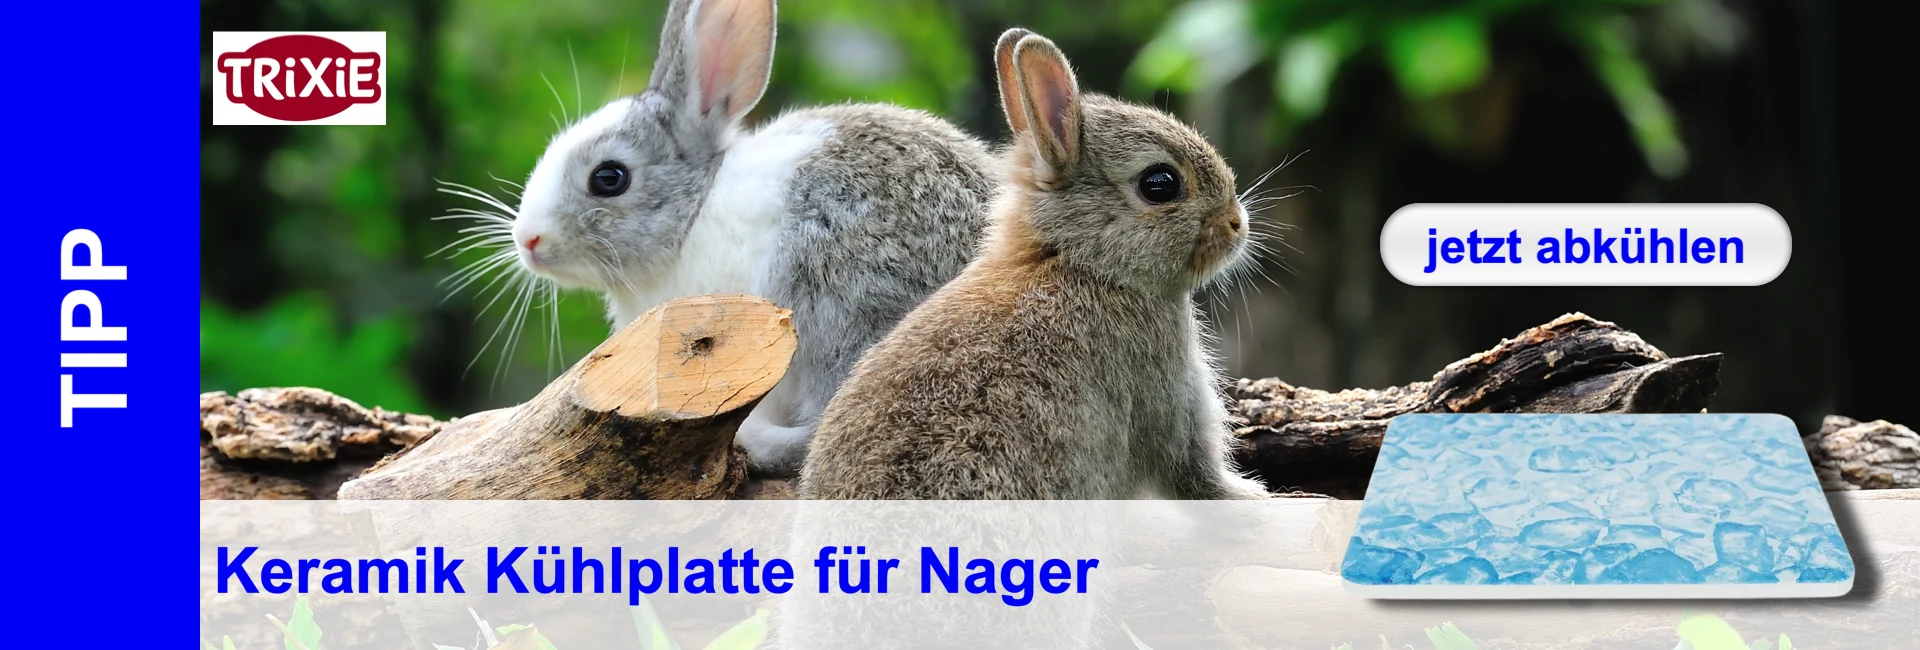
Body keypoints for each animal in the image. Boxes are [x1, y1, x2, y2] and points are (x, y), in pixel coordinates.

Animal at [797, 28, 1273, 502]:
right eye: (1160, 184)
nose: (1237, 223)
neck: (1080, 263)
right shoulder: (1169, 396)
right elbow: (1196, 475)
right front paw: (1252, 500)